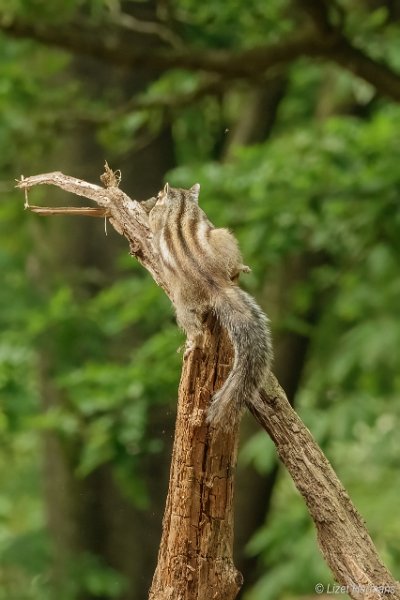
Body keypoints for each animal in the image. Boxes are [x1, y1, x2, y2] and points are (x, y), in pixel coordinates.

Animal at [147, 183, 272, 426]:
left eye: (158, 195)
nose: (149, 200)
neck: (181, 203)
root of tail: (211, 279)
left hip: (182, 304)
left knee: (195, 330)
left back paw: (192, 344)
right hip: (224, 237)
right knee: (232, 265)